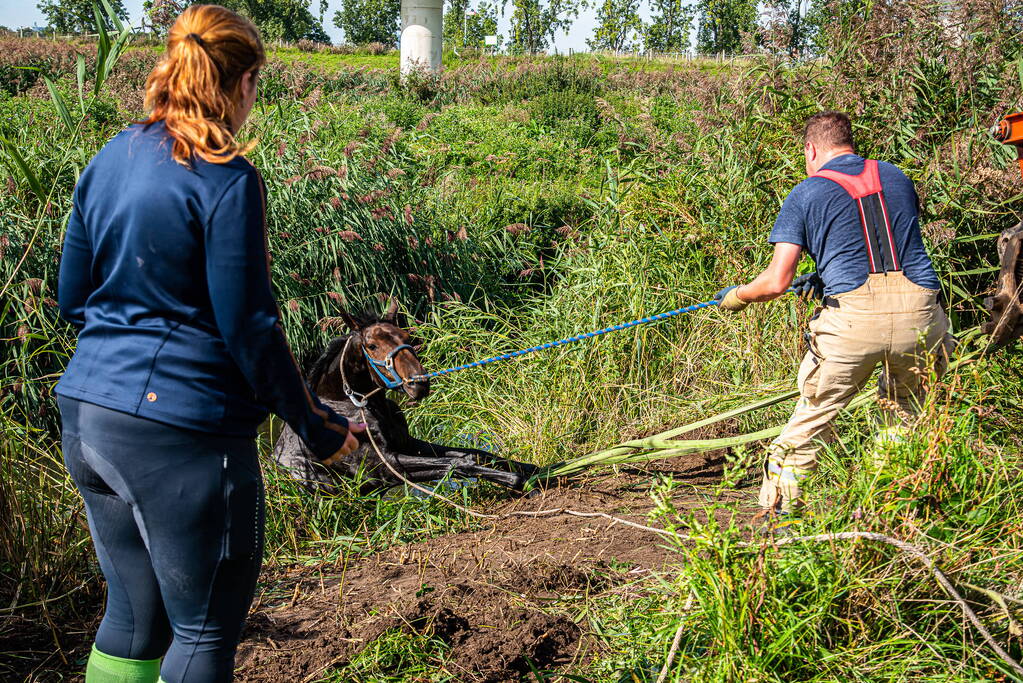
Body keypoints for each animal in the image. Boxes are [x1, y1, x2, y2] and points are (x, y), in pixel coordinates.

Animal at [272, 301, 538, 494]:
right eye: (371, 345)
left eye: (406, 336)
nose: (419, 384)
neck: (348, 403)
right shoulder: (383, 468)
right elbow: (458, 464)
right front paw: (519, 481)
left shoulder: (407, 443)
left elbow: (474, 454)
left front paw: (533, 469)